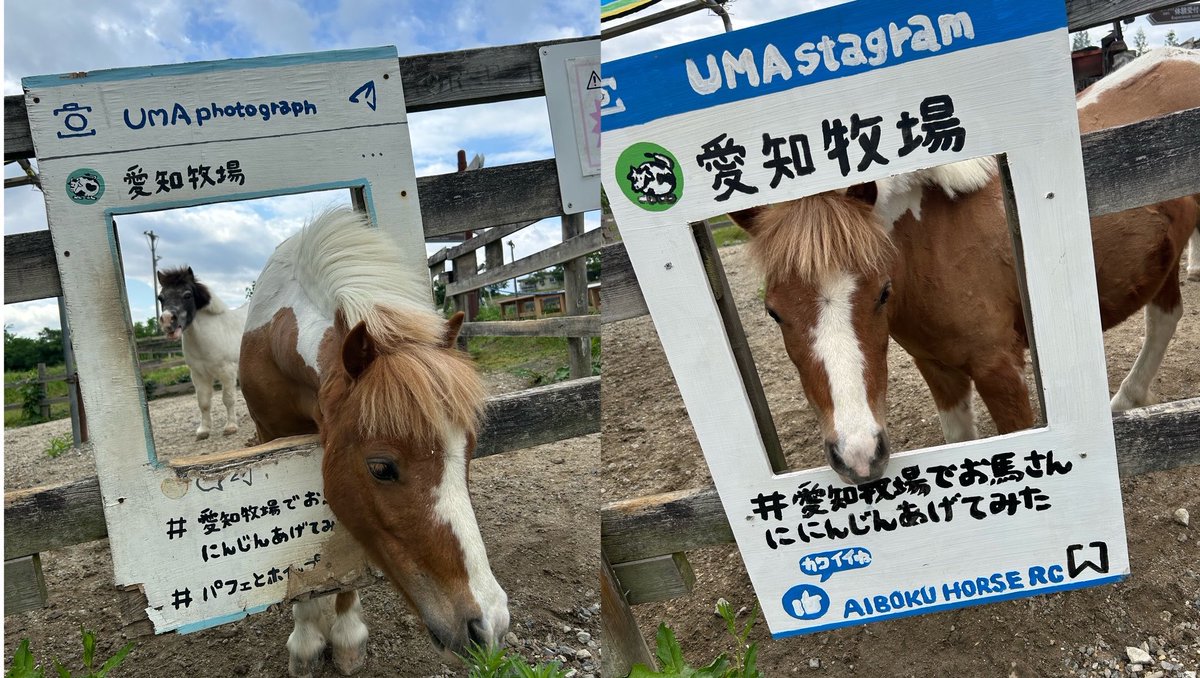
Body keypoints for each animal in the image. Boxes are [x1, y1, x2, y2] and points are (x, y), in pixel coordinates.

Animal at [156, 266, 248, 440]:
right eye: (160, 298)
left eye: (187, 295)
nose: (167, 321)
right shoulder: (199, 375)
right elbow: (203, 403)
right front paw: (204, 430)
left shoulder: (227, 372)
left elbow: (228, 399)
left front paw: (231, 427)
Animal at [238, 207, 508, 676]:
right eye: (381, 467)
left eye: (469, 453)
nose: (489, 624)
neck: (278, 334)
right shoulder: (273, 437)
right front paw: (306, 641)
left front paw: (346, 635)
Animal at [732, 47, 1200, 485]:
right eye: (774, 312)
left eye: (882, 292)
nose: (858, 455)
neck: (932, 244)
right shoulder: (938, 369)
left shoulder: (1000, 370)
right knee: (1165, 315)